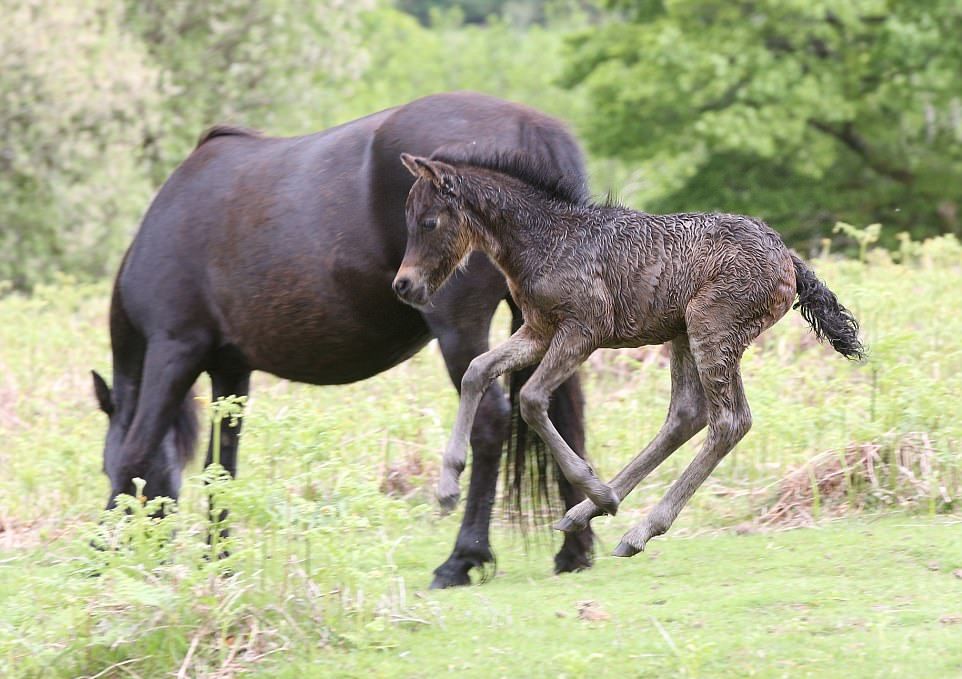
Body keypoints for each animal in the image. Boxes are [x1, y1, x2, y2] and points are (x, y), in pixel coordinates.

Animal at [90, 91, 588, 588]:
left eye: (103, 466)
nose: (102, 556)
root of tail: (528, 127)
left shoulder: (174, 350)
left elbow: (137, 453)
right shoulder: (230, 371)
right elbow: (220, 467)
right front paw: (220, 563)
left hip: (460, 331)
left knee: (488, 424)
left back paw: (461, 559)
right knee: (553, 412)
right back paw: (574, 549)